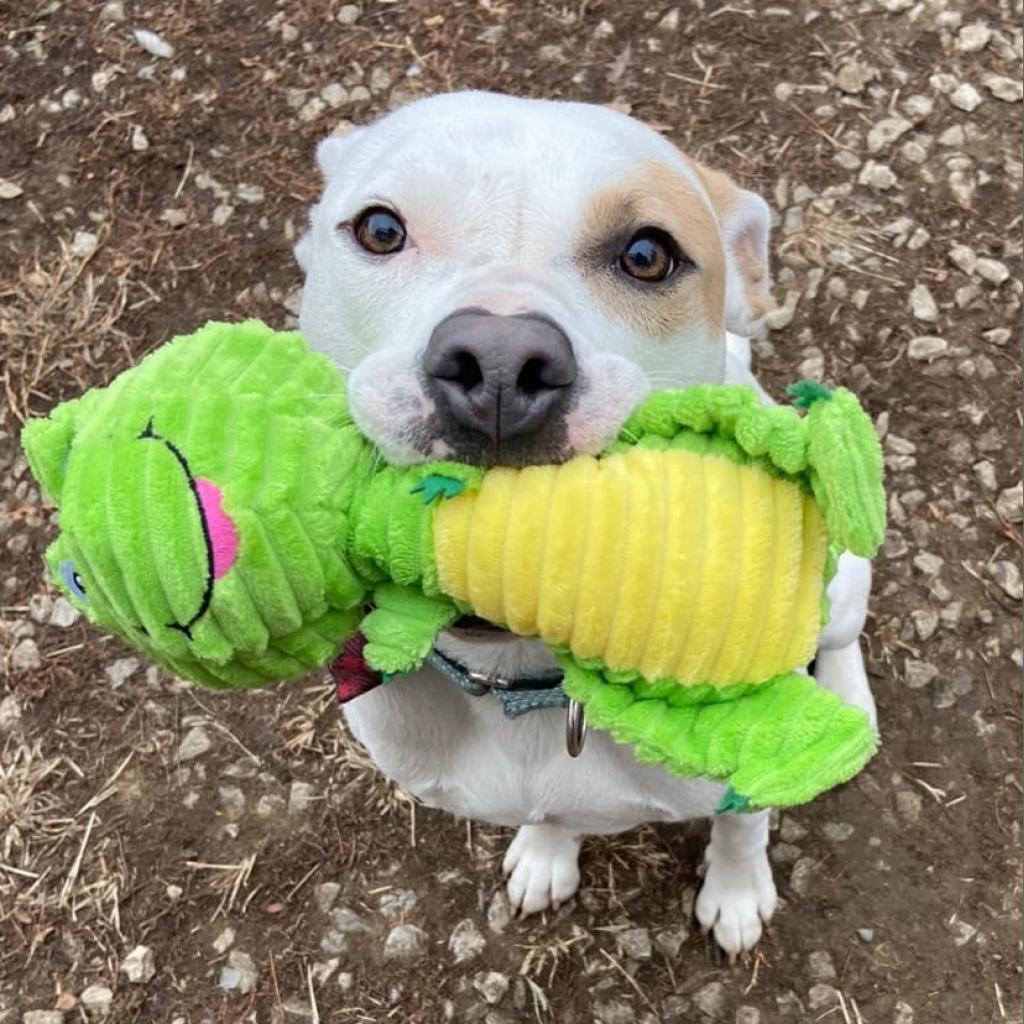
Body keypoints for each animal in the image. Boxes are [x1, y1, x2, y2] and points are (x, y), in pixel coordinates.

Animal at [292, 90, 876, 958]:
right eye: (381, 229)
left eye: (647, 254)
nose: (499, 366)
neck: (526, 682)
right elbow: (551, 815)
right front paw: (545, 853)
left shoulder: (746, 776)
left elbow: (743, 828)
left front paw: (737, 894)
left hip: (841, 583)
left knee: (840, 637)